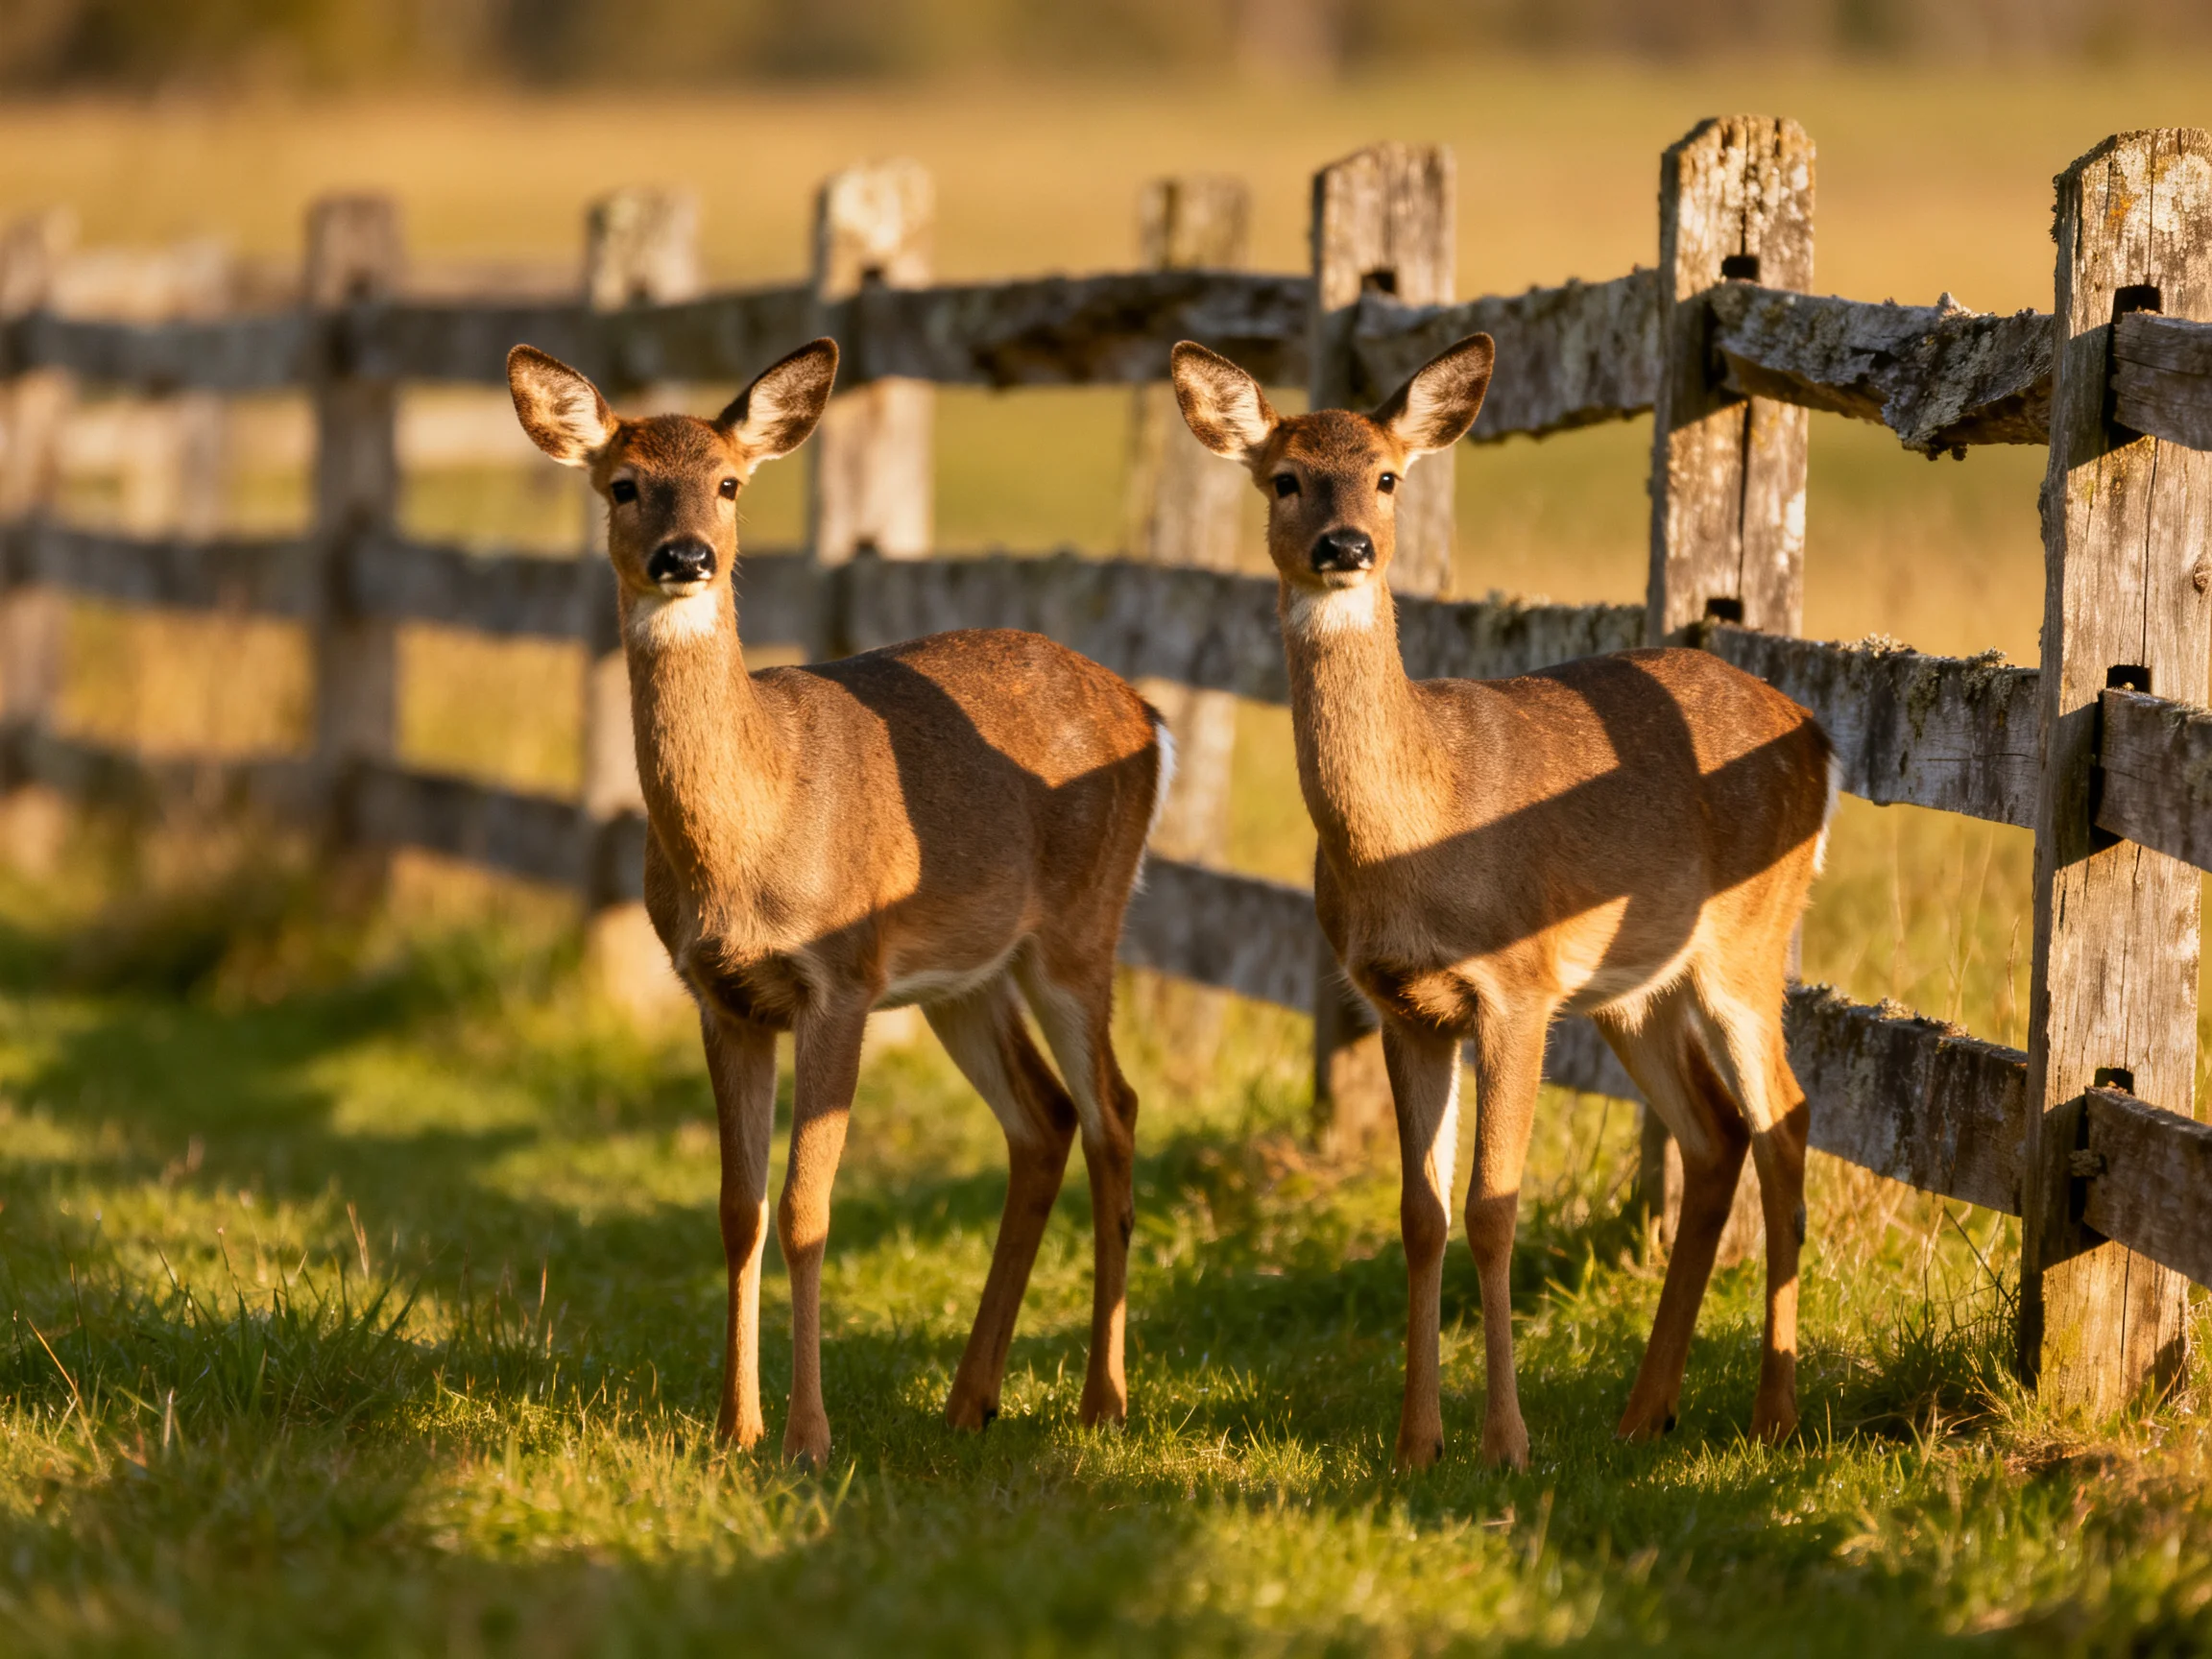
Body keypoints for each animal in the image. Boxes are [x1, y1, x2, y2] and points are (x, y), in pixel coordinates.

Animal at [507, 337, 1167, 1465]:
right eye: (624, 483)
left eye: (730, 483)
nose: (686, 556)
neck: (754, 825)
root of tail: (1150, 712)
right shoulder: (721, 997)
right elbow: (738, 1207)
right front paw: (734, 1426)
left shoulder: (842, 983)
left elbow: (808, 1208)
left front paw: (808, 1436)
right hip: (966, 975)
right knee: (1043, 1120)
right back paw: (969, 1399)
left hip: (1081, 927)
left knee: (1112, 1110)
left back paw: (1102, 1401)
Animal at [1168, 333, 1834, 1470]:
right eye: (1285, 477)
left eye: (1389, 476)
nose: (1345, 544)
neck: (1414, 830)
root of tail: (1819, 733)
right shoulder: (1402, 1007)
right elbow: (1419, 1214)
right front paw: (1415, 1442)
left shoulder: (1517, 989)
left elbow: (1493, 1206)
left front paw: (1506, 1444)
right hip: (1635, 991)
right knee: (1715, 1138)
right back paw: (1643, 1412)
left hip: (1749, 940)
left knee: (1783, 1121)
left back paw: (1773, 1417)